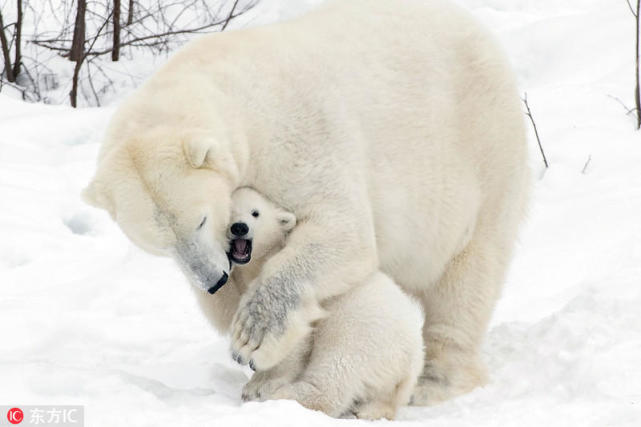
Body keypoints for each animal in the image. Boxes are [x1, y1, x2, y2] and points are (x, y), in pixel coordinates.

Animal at [82, 0, 528, 406]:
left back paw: (436, 381)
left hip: (479, 155)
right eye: (160, 244)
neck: (233, 92)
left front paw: (253, 336)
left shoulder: (299, 135)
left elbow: (341, 230)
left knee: (468, 274)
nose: (213, 280)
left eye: (200, 220)